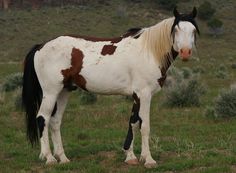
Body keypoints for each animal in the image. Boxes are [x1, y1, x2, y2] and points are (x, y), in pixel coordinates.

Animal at [22, 7, 199, 168]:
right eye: (176, 29)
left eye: (193, 30)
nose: (185, 52)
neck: (149, 51)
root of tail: (41, 46)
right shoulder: (144, 94)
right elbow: (145, 126)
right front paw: (149, 160)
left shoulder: (137, 96)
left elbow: (133, 123)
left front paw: (132, 156)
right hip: (51, 92)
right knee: (42, 118)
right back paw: (49, 158)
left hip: (63, 92)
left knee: (55, 121)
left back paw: (63, 158)